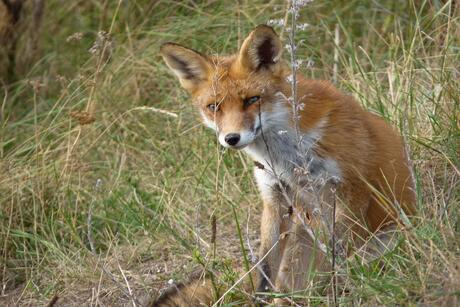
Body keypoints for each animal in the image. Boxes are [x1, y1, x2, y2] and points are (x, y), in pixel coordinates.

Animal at [157, 25, 416, 306]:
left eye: (252, 100)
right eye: (214, 107)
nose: (232, 138)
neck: (286, 154)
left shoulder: (352, 189)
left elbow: (332, 255)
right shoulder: (275, 195)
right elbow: (264, 269)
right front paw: (262, 301)